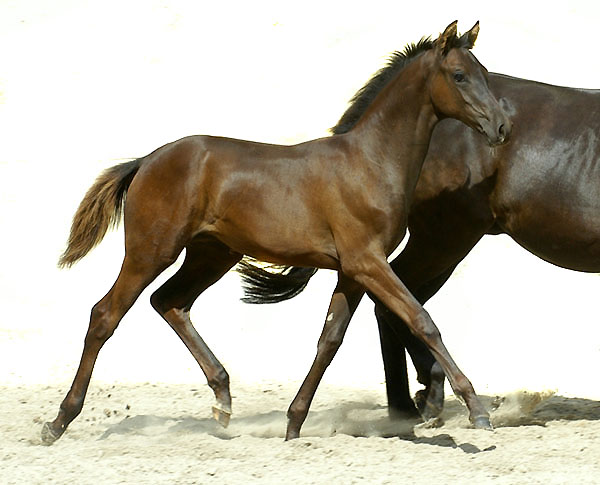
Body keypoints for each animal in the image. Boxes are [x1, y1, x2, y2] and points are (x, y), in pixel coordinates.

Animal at [43, 21, 510, 442]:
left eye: (484, 71)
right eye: (459, 75)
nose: (502, 127)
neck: (371, 161)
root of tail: (147, 160)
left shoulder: (351, 270)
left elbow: (329, 339)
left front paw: (293, 423)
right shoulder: (368, 261)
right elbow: (422, 320)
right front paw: (477, 410)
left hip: (212, 254)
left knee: (170, 302)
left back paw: (223, 402)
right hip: (151, 251)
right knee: (105, 314)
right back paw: (58, 421)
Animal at [239, 54, 600, 420]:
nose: (500, 129)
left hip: (443, 242)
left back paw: (411, 403)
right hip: (445, 238)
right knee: (396, 299)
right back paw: (423, 395)